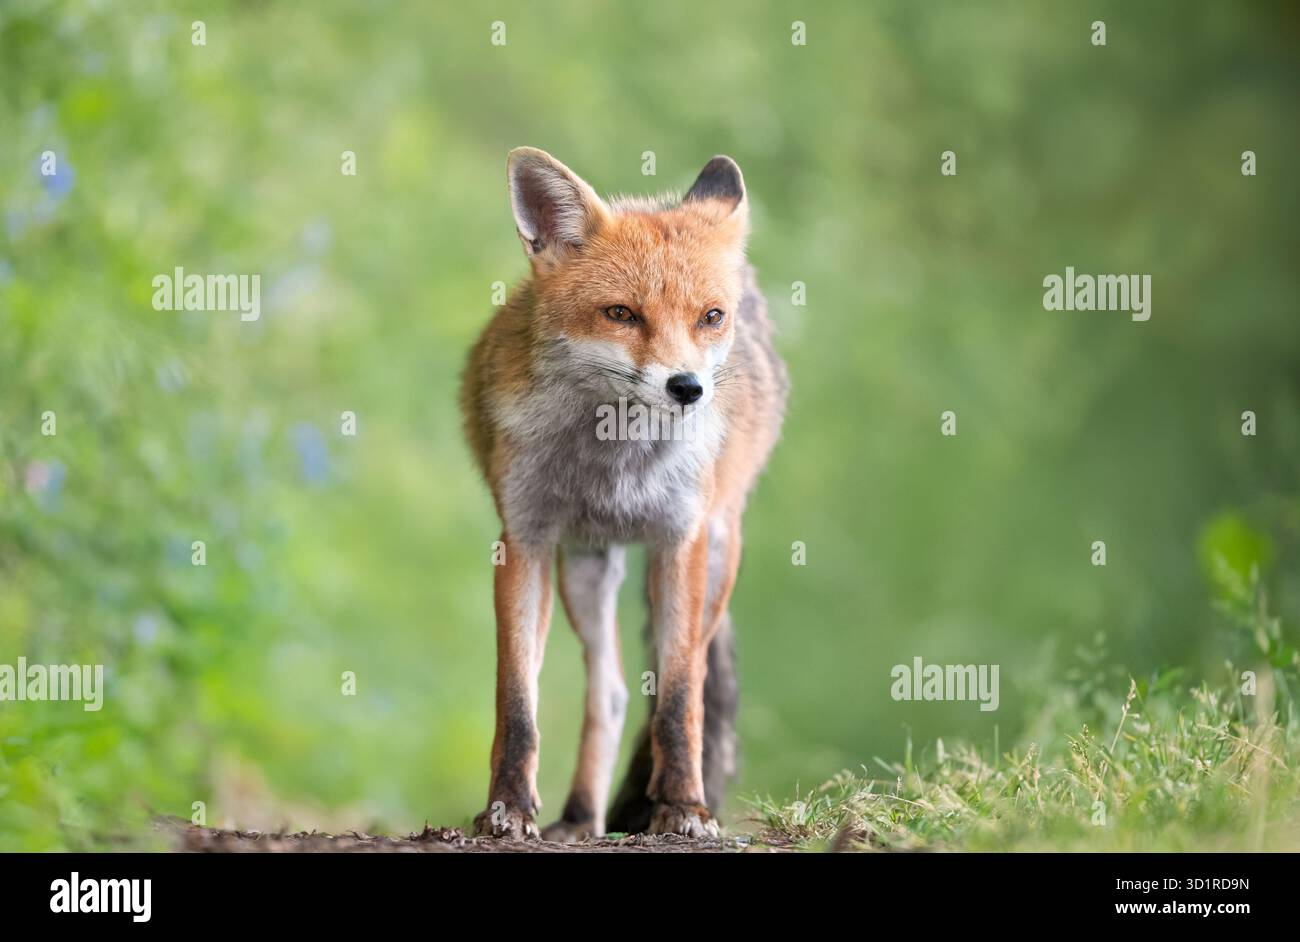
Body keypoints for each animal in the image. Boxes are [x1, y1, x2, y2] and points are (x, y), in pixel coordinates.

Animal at [460, 147, 787, 840]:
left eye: (710, 317)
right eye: (622, 314)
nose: (688, 388)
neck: (615, 465)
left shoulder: (681, 539)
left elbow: (680, 698)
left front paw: (683, 807)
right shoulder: (524, 540)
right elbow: (517, 700)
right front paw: (508, 807)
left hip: (716, 552)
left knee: (680, 681)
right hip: (586, 569)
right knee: (608, 693)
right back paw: (581, 817)